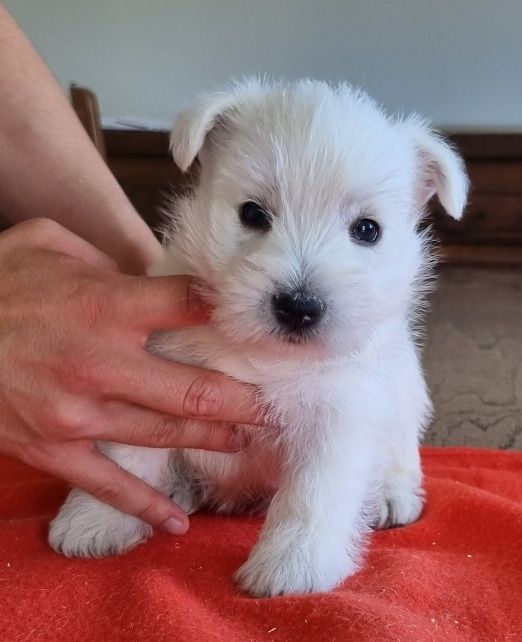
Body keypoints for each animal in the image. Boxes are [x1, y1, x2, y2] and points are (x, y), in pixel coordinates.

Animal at [49, 79, 468, 597]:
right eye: (252, 213)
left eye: (367, 230)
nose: (298, 307)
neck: (262, 354)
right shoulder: (158, 378)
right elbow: (126, 458)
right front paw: (96, 519)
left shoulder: (341, 414)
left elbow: (313, 494)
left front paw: (292, 566)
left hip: (405, 402)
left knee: (402, 451)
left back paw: (391, 494)